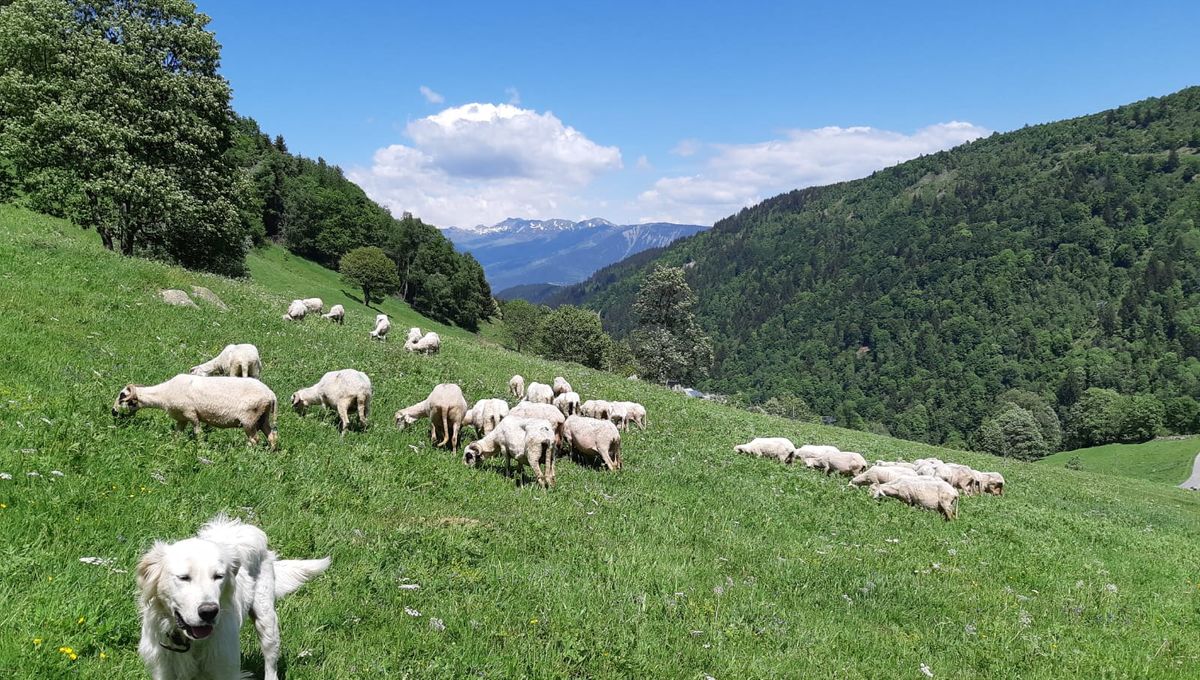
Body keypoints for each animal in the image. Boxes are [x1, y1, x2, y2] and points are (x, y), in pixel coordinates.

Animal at [113, 374, 277, 448]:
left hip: (249, 419)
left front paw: (201, 449)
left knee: (254, 440)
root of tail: (270, 394)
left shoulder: (191, 414)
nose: (113, 412)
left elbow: (198, 433)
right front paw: (174, 446)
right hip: (262, 417)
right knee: (272, 436)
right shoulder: (181, 419)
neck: (164, 394)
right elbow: (177, 435)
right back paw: (272, 453)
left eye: (122, 396)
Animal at [137, 515, 328, 680]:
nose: (209, 612)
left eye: (218, 576)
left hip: (266, 621)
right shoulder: (163, 670)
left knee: (271, 663)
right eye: (184, 577)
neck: (191, 643)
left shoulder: (225, 668)